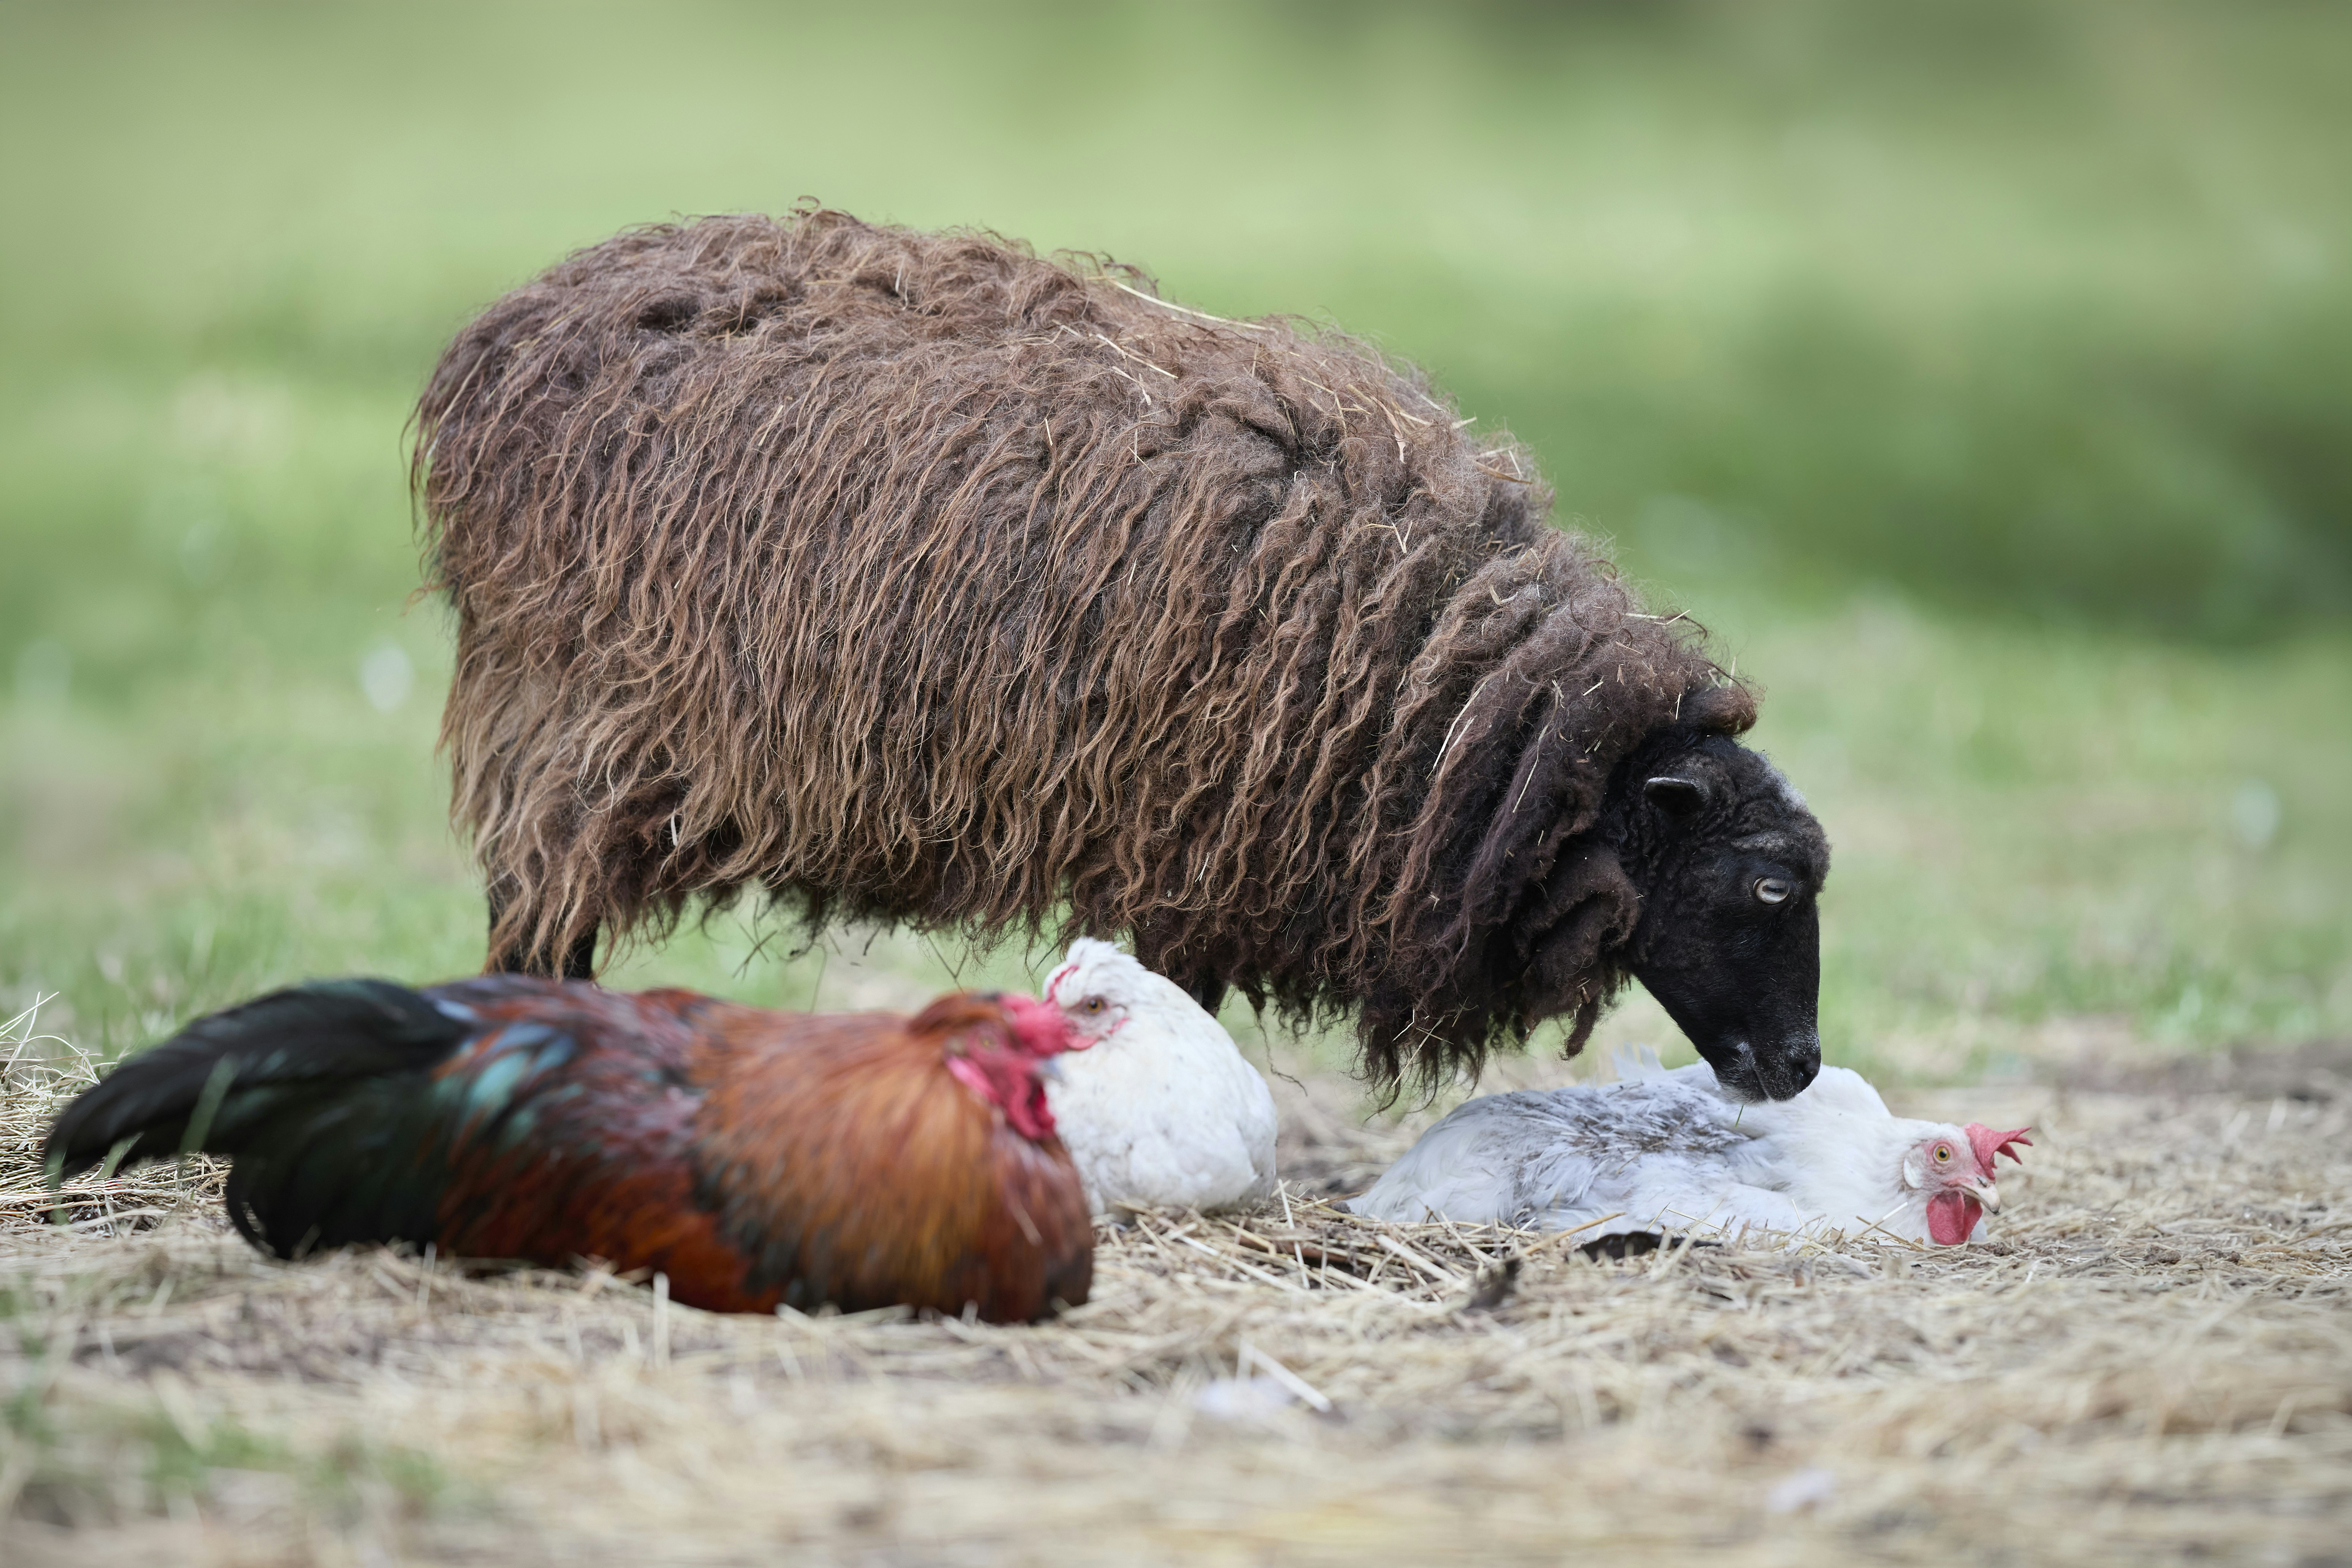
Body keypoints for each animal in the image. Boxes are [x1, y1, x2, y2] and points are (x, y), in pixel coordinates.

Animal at [412, 207, 1829, 1098]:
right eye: (1768, 884)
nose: (1804, 1065)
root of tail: (506, 329)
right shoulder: (1189, 833)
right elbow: (1182, 992)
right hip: (569, 720)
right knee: (537, 923)